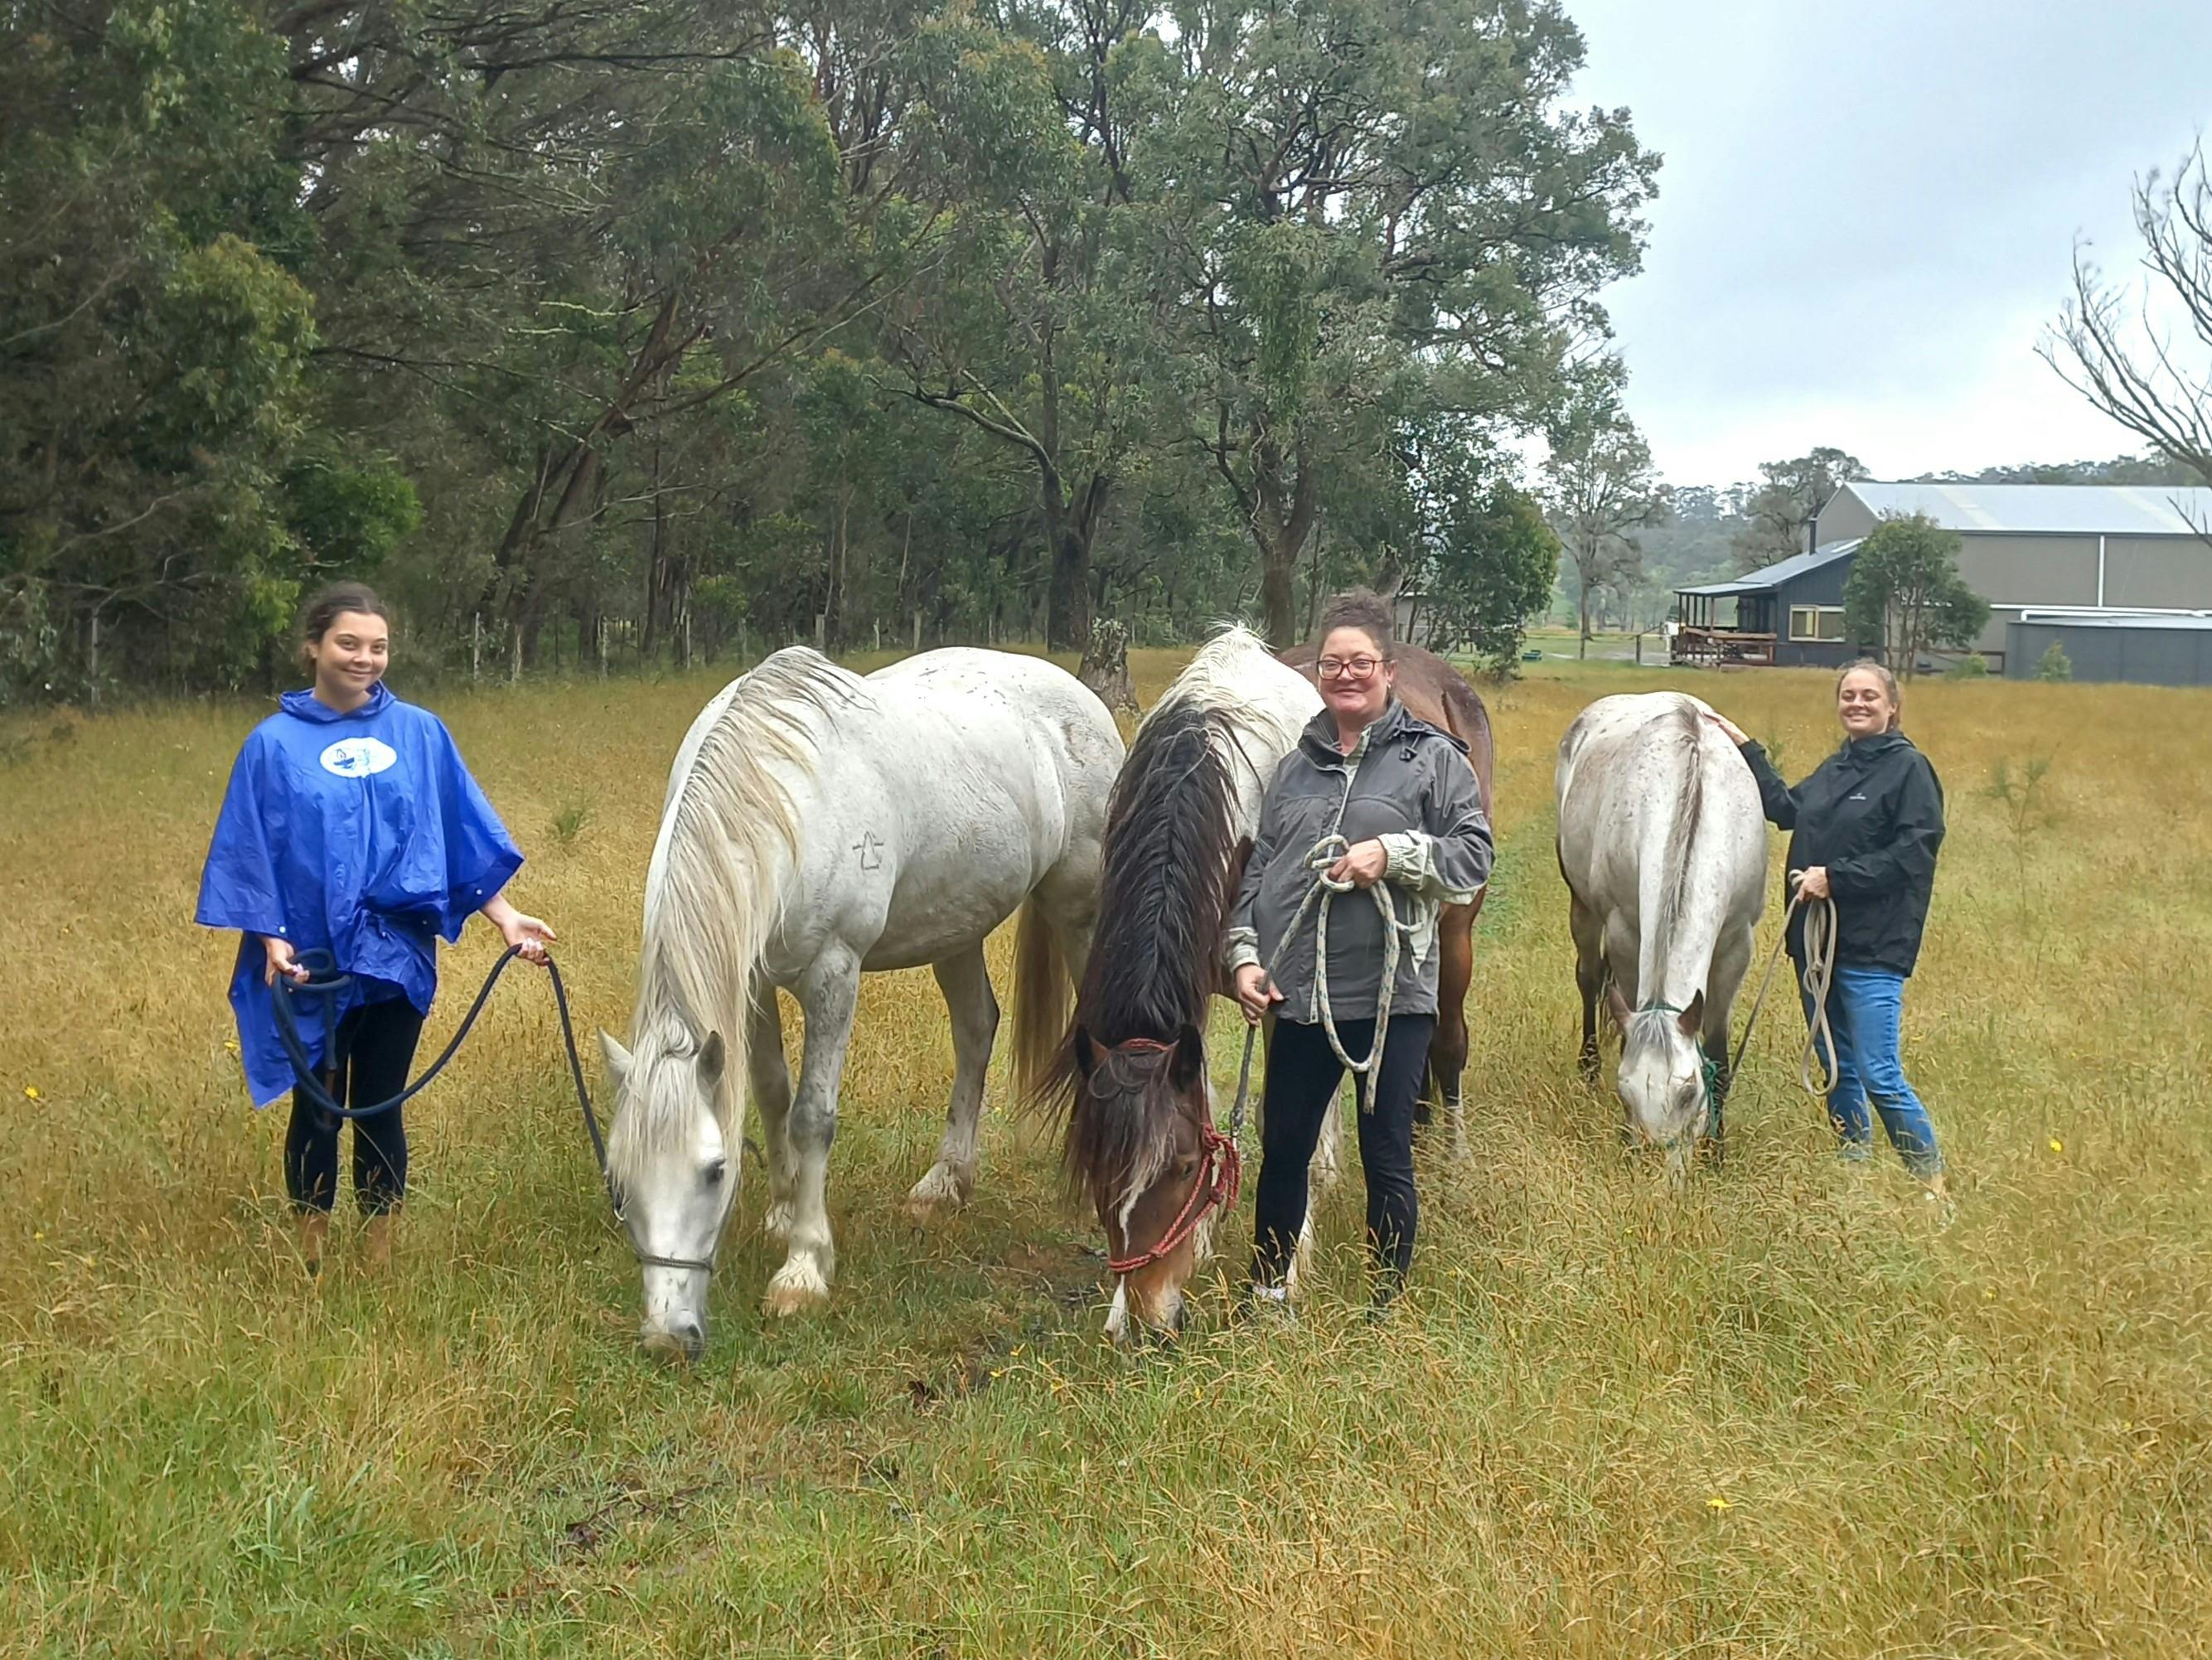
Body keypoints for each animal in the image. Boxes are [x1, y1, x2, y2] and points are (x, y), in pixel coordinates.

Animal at [599, 647, 1123, 1358]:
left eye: (713, 1171)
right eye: (619, 1182)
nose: (666, 1336)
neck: (781, 803)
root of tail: (1079, 695)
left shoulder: (833, 972)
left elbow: (811, 1115)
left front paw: (802, 1268)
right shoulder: (754, 981)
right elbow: (771, 1091)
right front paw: (782, 1210)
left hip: (1079, 913)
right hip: (956, 926)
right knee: (975, 1029)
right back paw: (944, 1183)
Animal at [1553, 691, 1767, 1171]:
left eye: (1689, 1093)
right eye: (1625, 1093)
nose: (1657, 1172)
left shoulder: (1735, 945)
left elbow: (1719, 1053)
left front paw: (1716, 1152)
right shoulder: (1624, 933)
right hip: (1583, 908)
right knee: (1589, 980)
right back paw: (1587, 1067)